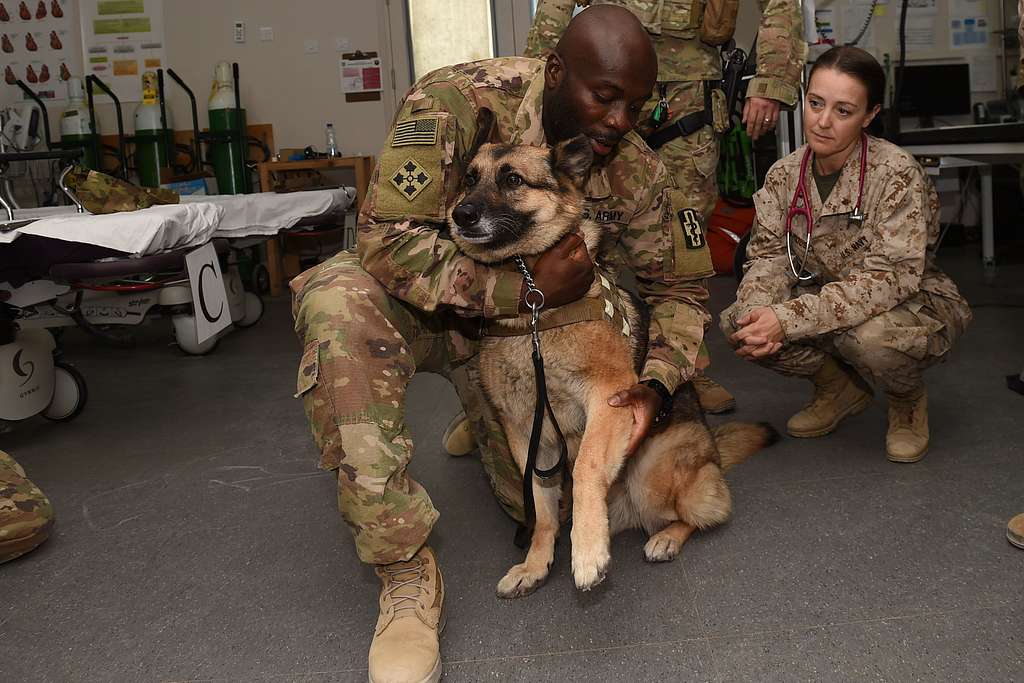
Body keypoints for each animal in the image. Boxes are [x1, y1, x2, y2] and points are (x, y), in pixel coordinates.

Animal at [448, 136, 774, 593]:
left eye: (513, 180)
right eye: (469, 179)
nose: (461, 215)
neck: (533, 309)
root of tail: (713, 451)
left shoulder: (608, 400)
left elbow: (586, 466)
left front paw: (587, 552)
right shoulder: (528, 433)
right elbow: (542, 508)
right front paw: (536, 563)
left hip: (652, 471)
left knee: (707, 511)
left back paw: (666, 537)